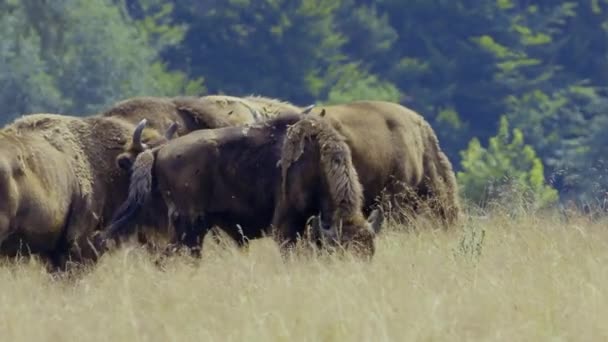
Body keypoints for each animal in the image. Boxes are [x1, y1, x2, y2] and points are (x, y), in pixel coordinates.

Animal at [97, 113, 380, 258]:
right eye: (342, 253)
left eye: (371, 253)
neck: (314, 161)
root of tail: (159, 152)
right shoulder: (286, 226)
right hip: (188, 225)